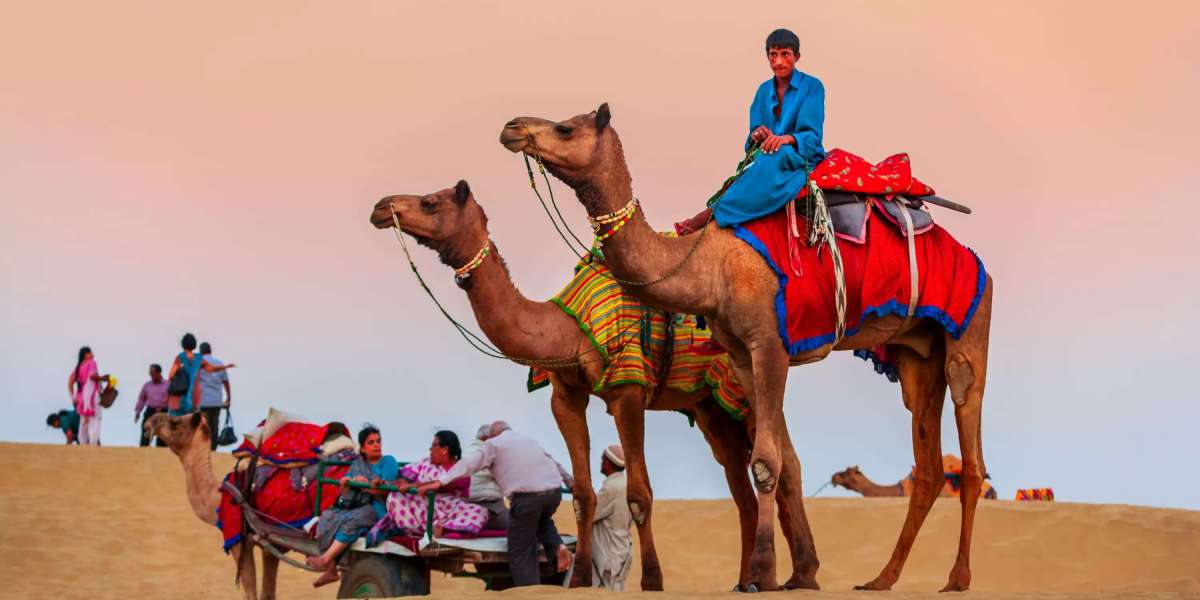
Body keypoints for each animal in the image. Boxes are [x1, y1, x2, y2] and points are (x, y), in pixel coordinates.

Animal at [144, 415, 279, 600]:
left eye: (175, 422)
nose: (148, 423)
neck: (219, 498)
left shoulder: (238, 542)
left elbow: (251, 593)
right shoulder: (269, 548)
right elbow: (267, 593)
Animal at [367, 178, 816, 590]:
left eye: (430, 202)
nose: (381, 206)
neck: (565, 330)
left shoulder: (628, 389)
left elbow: (638, 494)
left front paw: (652, 580)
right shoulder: (565, 395)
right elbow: (584, 496)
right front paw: (580, 578)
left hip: (743, 384)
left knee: (782, 461)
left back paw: (792, 577)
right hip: (709, 406)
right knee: (743, 486)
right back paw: (752, 580)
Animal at [496, 105, 993, 592]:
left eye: (565, 127)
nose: (512, 127)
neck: (708, 263)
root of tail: (971, 256)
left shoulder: (770, 344)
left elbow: (766, 463)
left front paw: (762, 574)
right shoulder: (739, 354)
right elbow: (775, 462)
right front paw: (777, 575)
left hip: (969, 325)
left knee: (969, 446)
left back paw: (958, 578)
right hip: (915, 353)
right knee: (927, 464)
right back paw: (882, 579)